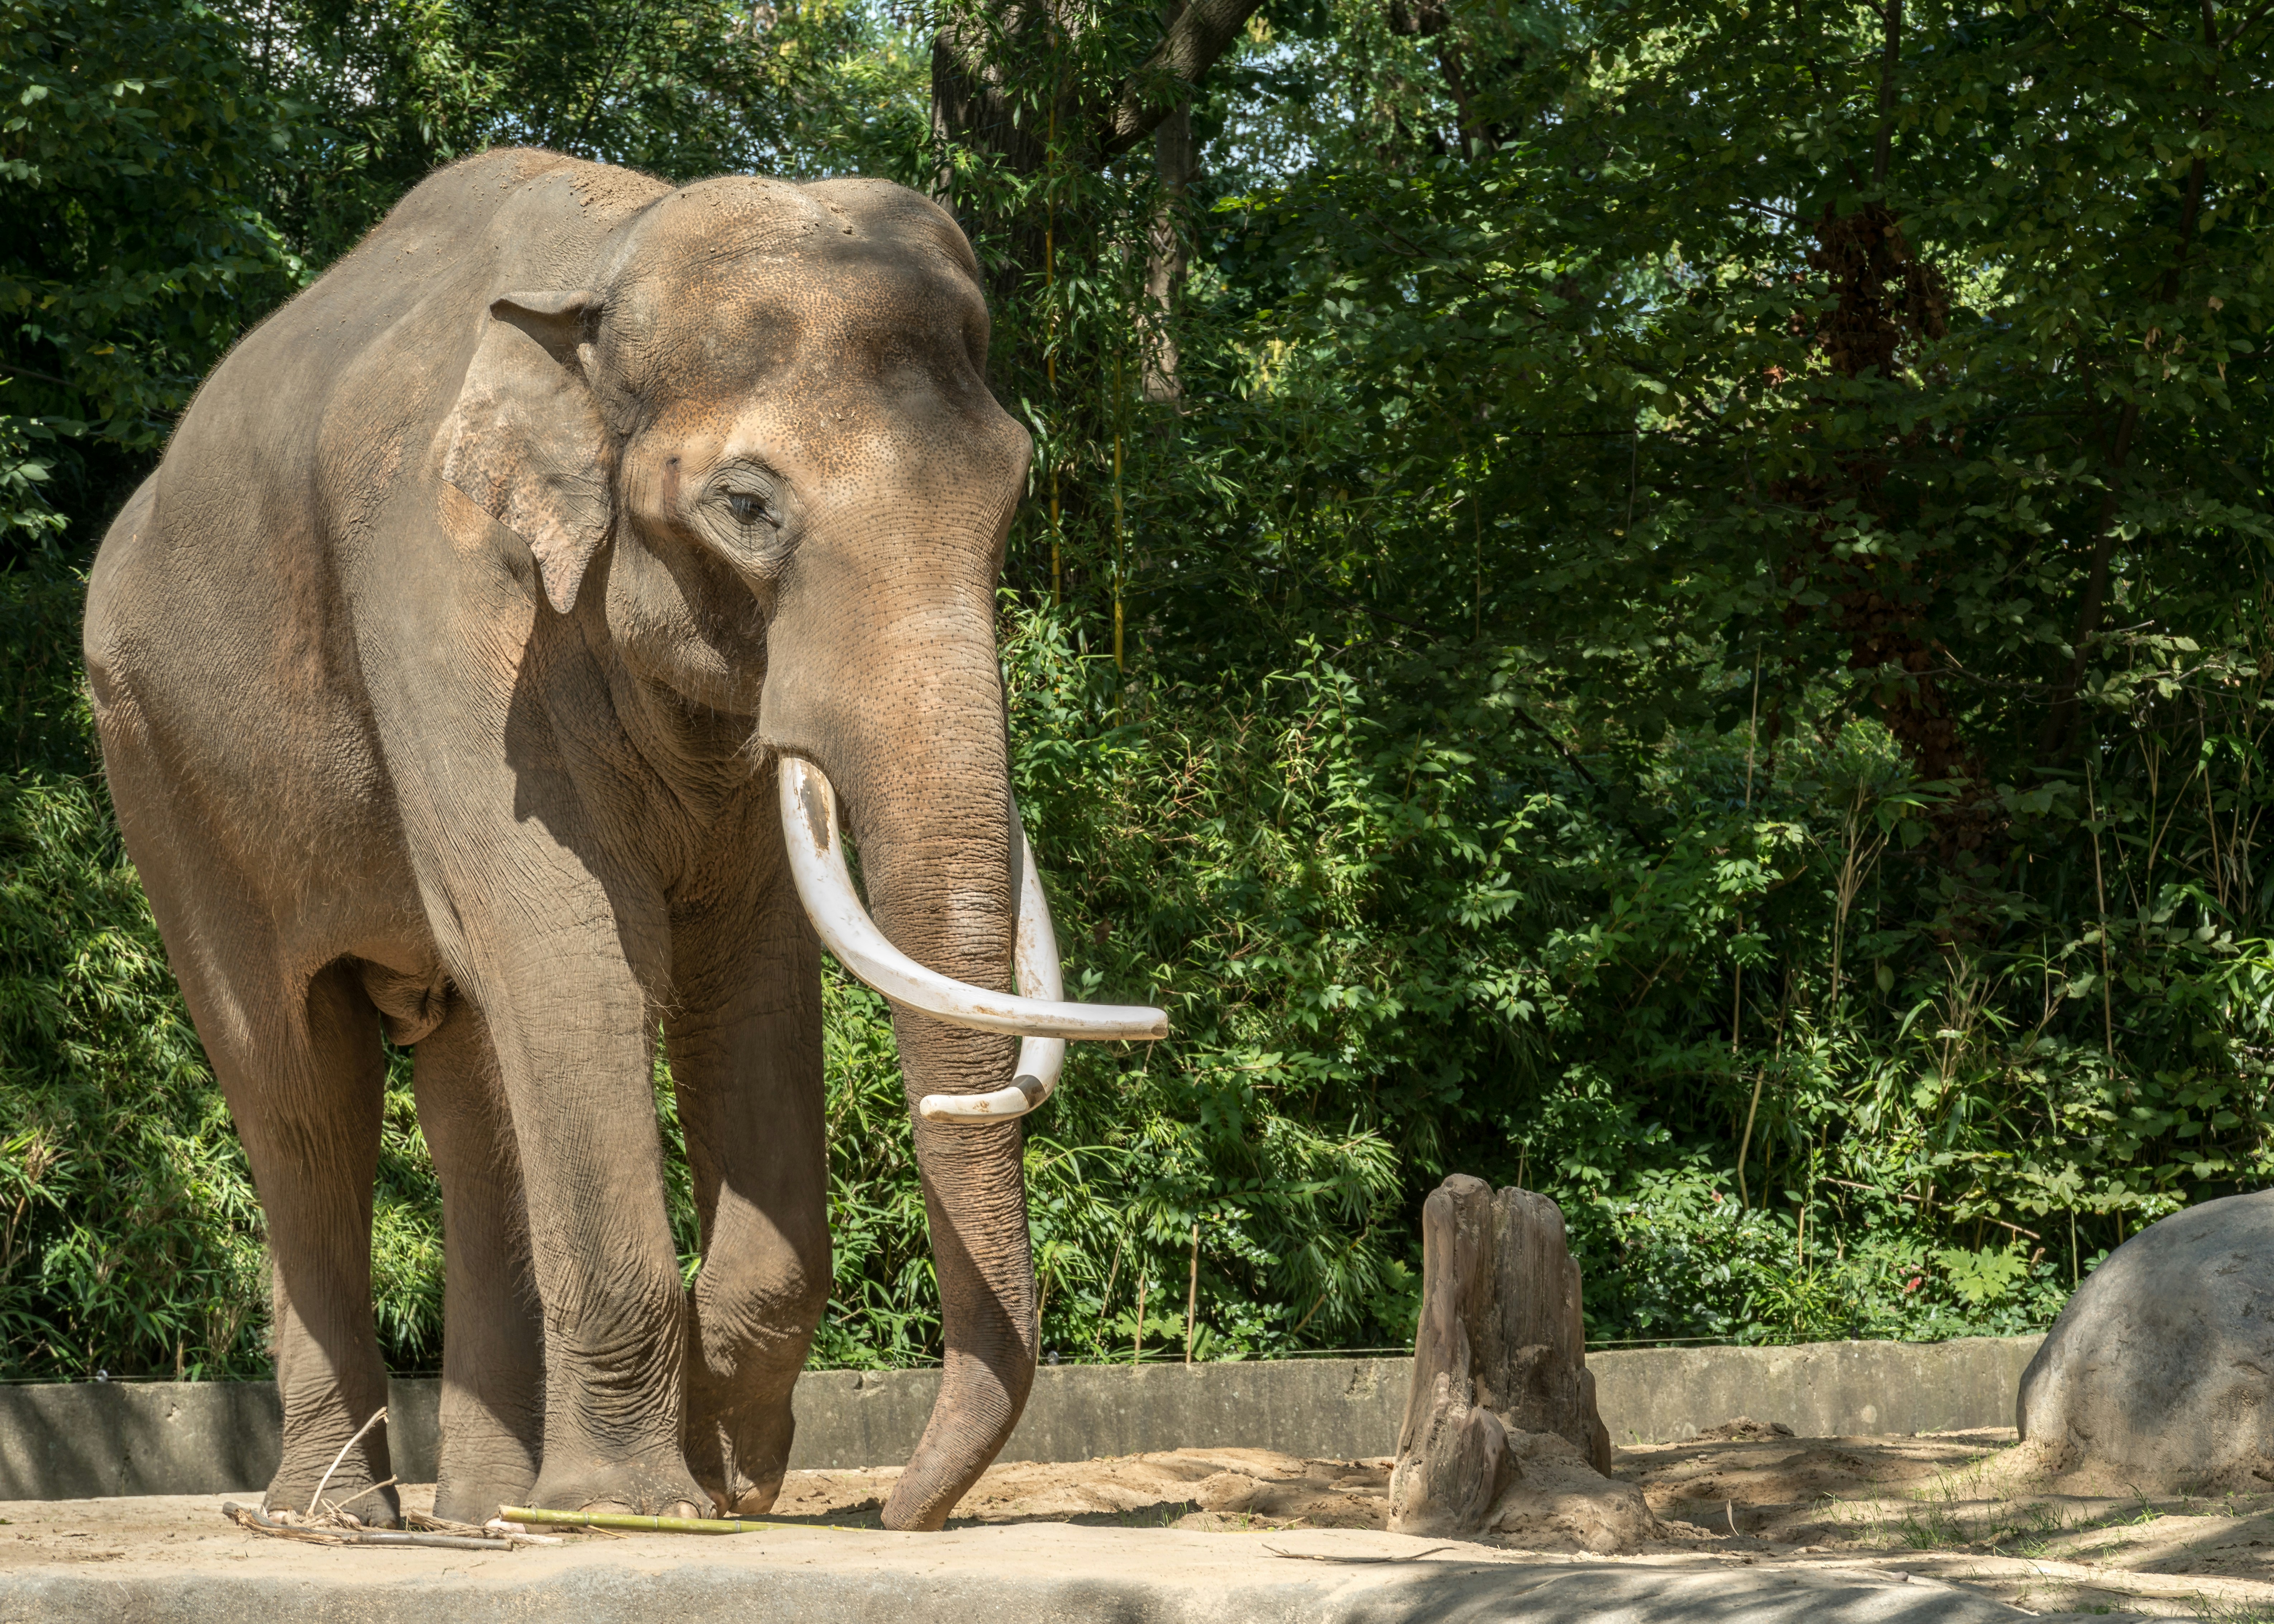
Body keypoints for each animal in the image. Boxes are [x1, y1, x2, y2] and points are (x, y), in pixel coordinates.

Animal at [80, 147, 1162, 1532]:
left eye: (1015, 490)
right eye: (746, 507)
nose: (902, 1513)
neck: (609, 260)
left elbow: (745, 976)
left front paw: (726, 1467)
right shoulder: (440, 598)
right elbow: (572, 955)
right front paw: (642, 1503)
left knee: (469, 1075)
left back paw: (485, 1515)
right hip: (157, 765)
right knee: (297, 1084)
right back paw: (336, 1517)